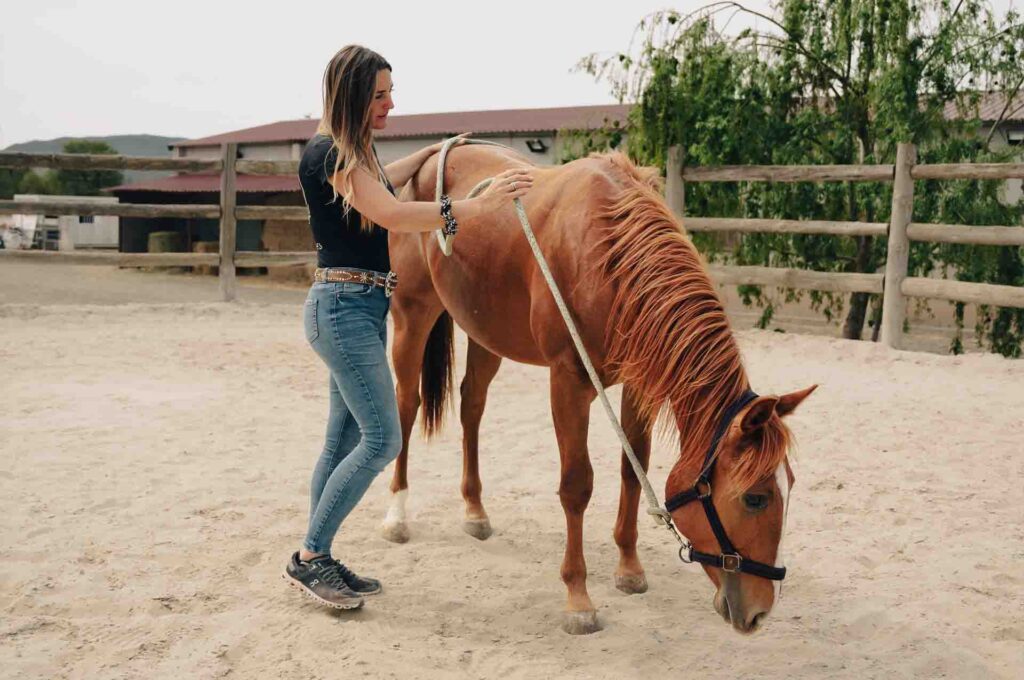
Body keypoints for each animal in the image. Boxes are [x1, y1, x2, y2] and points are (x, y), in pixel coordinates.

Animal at [379, 143, 816, 635]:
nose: (760, 611)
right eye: (756, 498)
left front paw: (629, 567)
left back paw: (475, 510)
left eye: (789, 485)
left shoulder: (639, 384)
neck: (609, 257)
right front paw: (578, 598)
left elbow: (632, 467)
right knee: (406, 405)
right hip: (413, 313)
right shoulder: (568, 381)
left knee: (472, 405)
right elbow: (576, 485)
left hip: (485, 331)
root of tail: (436, 154)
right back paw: (396, 514)